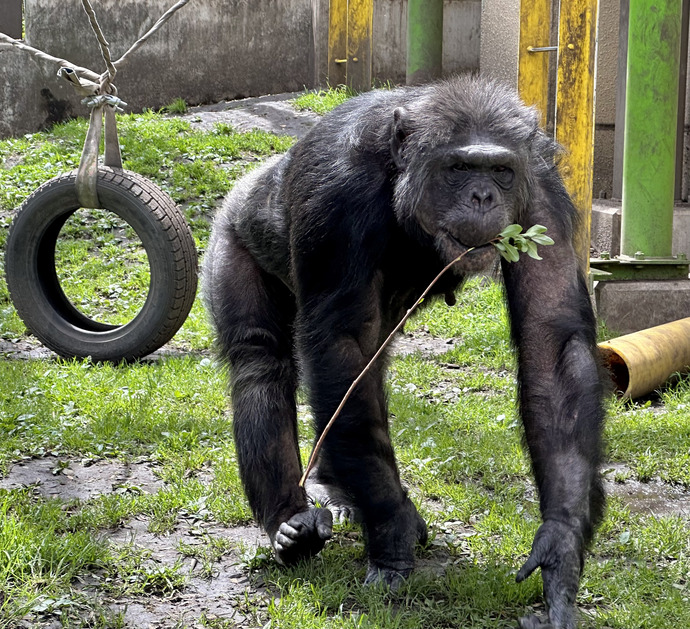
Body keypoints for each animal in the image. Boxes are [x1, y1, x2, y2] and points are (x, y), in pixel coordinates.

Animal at [203, 77, 600, 628]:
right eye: (459, 169)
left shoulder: (542, 199)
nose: (483, 195)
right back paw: (289, 523)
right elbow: (342, 344)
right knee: (260, 361)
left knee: (368, 367)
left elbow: (551, 340)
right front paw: (392, 533)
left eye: (501, 171)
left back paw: (338, 493)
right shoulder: (336, 197)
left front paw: (560, 546)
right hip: (232, 233)